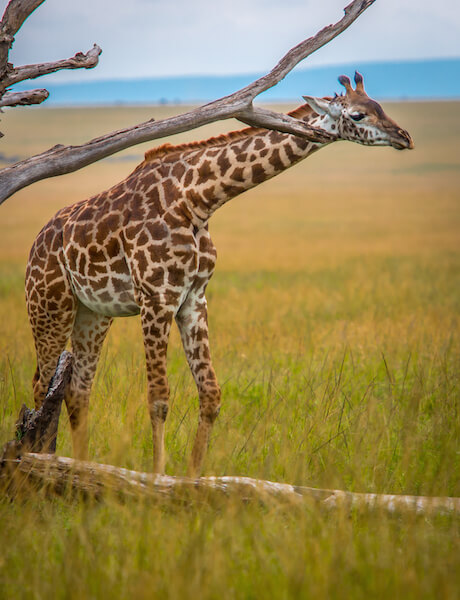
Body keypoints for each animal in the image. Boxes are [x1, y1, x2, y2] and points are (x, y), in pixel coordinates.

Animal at [25, 71, 414, 474]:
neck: (198, 201)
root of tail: (36, 243)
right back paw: (40, 463)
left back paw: (78, 466)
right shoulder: (157, 298)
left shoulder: (194, 299)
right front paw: (157, 476)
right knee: (41, 383)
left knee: (77, 390)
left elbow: (211, 393)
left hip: (93, 314)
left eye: (378, 106)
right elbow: (158, 398)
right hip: (50, 306)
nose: (405, 137)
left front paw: (193, 477)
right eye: (357, 115)